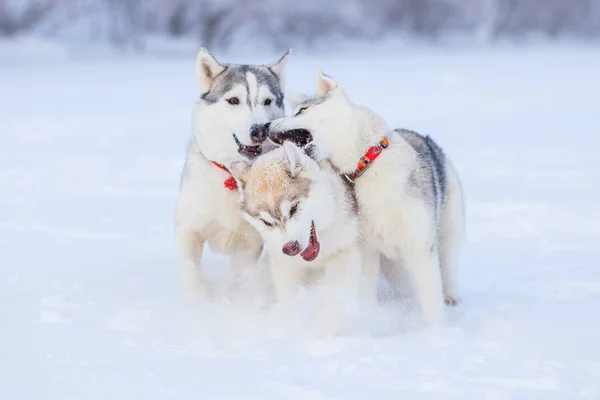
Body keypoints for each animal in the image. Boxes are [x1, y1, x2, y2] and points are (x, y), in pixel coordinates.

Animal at [175, 48, 292, 300]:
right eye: (233, 101)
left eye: (267, 101)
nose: (259, 130)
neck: (230, 173)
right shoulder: (188, 230)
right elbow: (190, 272)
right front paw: (197, 302)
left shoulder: (250, 244)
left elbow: (236, 281)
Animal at [229, 142, 360, 332]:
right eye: (267, 222)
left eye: (293, 209)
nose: (290, 248)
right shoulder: (285, 267)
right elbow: (290, 297)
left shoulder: (342, 252)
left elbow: (335, 297)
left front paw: (327, 326)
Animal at [264, 71, 466, 324]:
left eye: (302, 110)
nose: (264, 125)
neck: (369, 164)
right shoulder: (368, 251)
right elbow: (366, 290)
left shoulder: (419, 248)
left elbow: (431, 302)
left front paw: (435, 331)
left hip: (448, 231)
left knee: (448, 266)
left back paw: (452, 296)